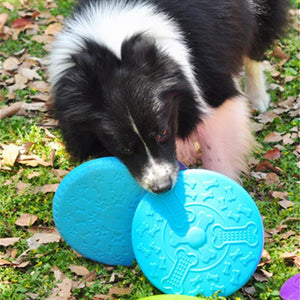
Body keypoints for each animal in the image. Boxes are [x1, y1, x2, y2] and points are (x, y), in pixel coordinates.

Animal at [49, 0, 288, 192]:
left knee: (255, 49)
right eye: (123, 148)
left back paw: (258, 98)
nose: (162, 187)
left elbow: (217, 146)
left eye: (163, 133)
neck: (116, 46)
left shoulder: (211, 84)